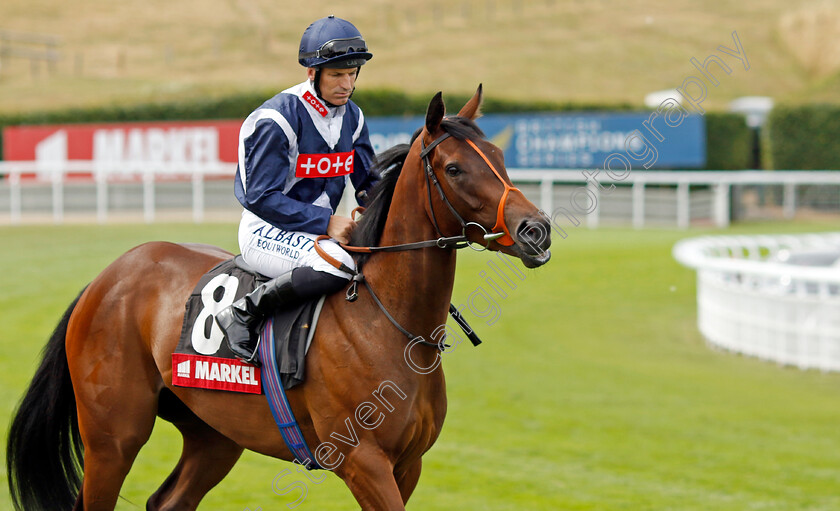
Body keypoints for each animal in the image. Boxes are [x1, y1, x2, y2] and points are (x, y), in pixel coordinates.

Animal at [9, 85, 556, 511]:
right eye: (455, 169)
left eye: (502, 160)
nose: (536, 230)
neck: (389, 325)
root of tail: (107, 277)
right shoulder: (363, 462)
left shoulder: (408, 466)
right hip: (113, 438)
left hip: (214, 435)